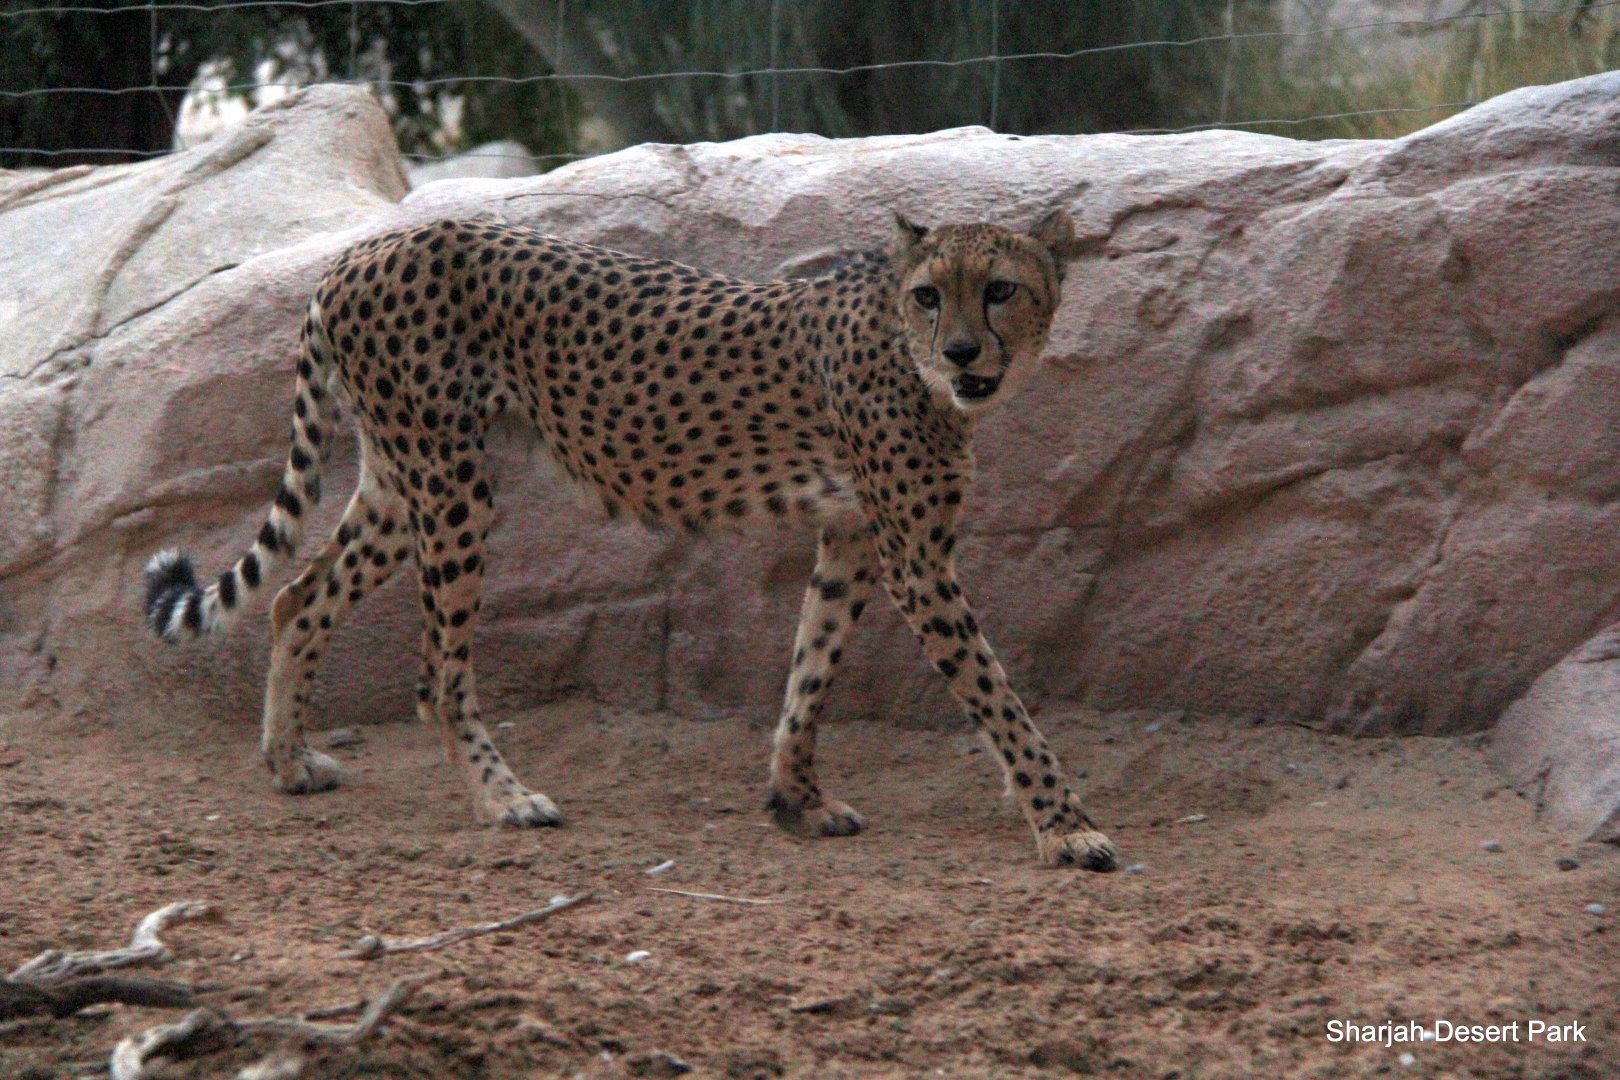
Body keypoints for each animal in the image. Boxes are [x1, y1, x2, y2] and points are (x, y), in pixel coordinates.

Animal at [143, 209, 1119, 870]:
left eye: (1000, 290)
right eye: (929, 297)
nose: (961, 353)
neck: (906, 351)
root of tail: (364, 247)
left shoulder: (849, 538)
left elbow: (811, 669)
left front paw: (795, 797)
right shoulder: (916, 559)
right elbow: (997, 697)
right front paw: (1065, 824)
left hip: (399, 476)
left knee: (296, 597)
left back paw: (286, 761)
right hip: (452, 484)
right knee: (435, 675)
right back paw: (503, 798)